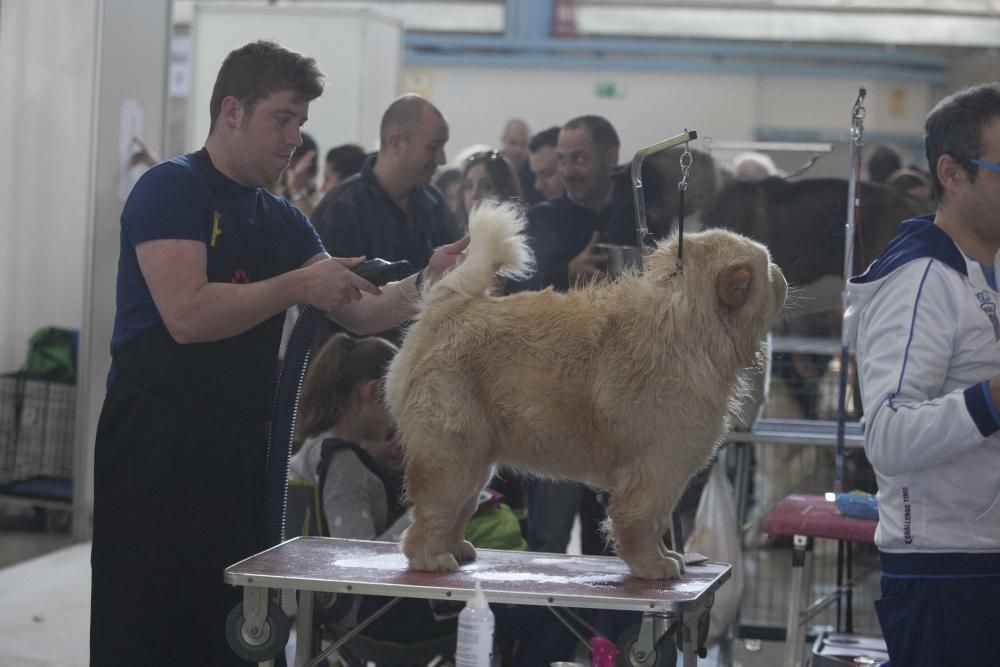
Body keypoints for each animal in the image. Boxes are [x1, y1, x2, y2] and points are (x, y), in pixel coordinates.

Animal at [386, 202, 784, 580]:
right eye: (767, 268)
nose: (781, 274)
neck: (694, 324)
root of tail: (446, 306)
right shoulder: (658, 468)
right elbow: (644, 519)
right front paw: (652, 565)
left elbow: (656, 523)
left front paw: (668, 556)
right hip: (451, 457)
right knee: (431, 514)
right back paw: (432, 558)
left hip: (477, 461)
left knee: (459, 509)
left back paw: (457, 549)